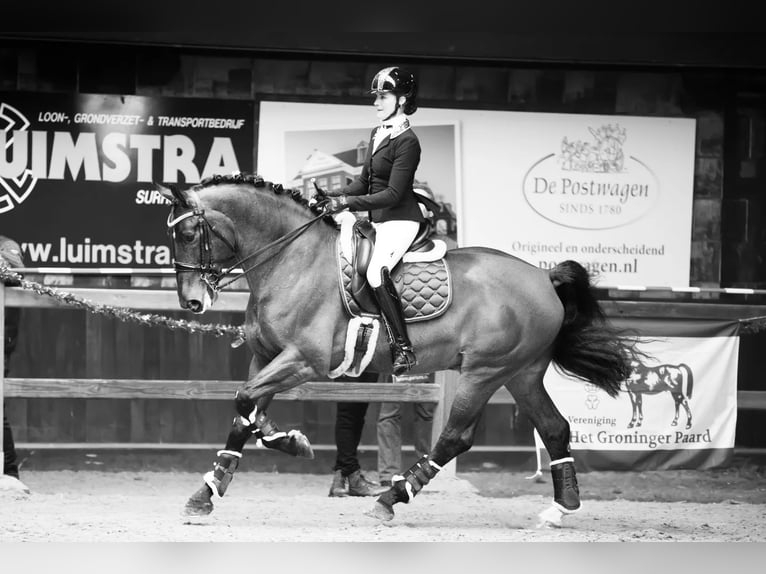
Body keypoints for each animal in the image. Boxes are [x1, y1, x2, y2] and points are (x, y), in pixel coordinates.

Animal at [158, 173, 640, 528]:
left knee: (455, 436)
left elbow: (245, 401)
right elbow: (246, 414)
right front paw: (209, 491)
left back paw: (391, 498)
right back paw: (561, 508)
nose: (192, 303)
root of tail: (544, 278)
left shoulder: (302, 360)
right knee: (555, 427)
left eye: (189, 233)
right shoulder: (265, 356)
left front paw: (288, 445)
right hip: (521, 373)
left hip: (485, 371)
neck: (291, 260)